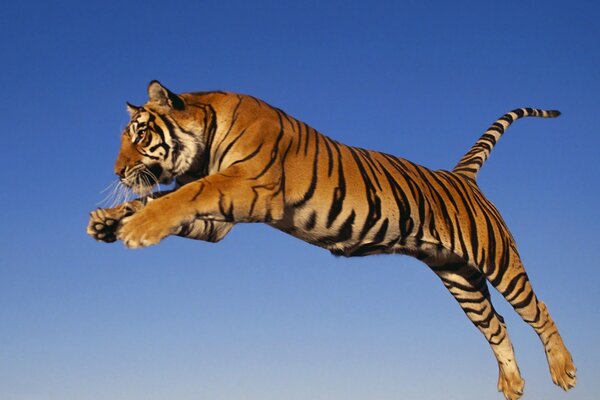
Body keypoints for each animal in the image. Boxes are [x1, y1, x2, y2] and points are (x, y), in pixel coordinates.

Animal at [86, 79, 576, 398]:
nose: (116, 172)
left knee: (537, 308)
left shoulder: (246, 185)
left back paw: (564, 370)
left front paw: (137, 228)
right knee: (496, 325)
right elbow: (162, 198)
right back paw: (513, 385)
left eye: (141, 135)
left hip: (497, 258)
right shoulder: (219, 223)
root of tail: (461, 176)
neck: (206, 141)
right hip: (459, 277)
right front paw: (107, 220)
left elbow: (182, 194)